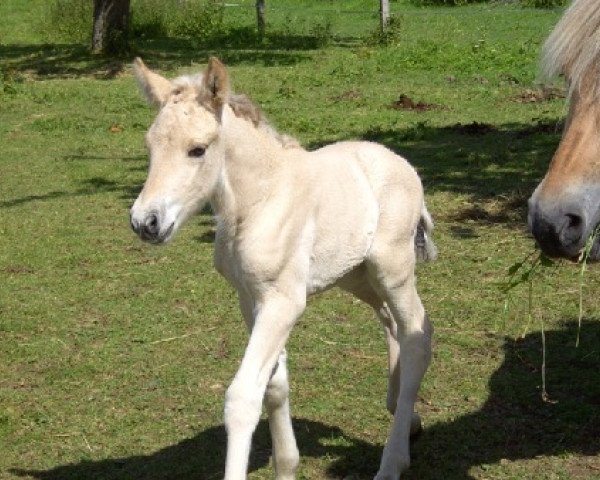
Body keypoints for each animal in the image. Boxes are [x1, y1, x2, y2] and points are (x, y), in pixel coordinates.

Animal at [130, 57, 436, 480]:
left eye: (197, 149)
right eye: (149, 146)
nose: (145, 222)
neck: (260, 200)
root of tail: (403, 164)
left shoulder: (283, 301)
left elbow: (243, 396)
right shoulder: (250, 298)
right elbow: (274, 384)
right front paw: (287, 464)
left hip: (392, 268)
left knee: (418, 334)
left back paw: (392, 462)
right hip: (356, 275)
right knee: (393, 325)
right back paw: (407, 421)